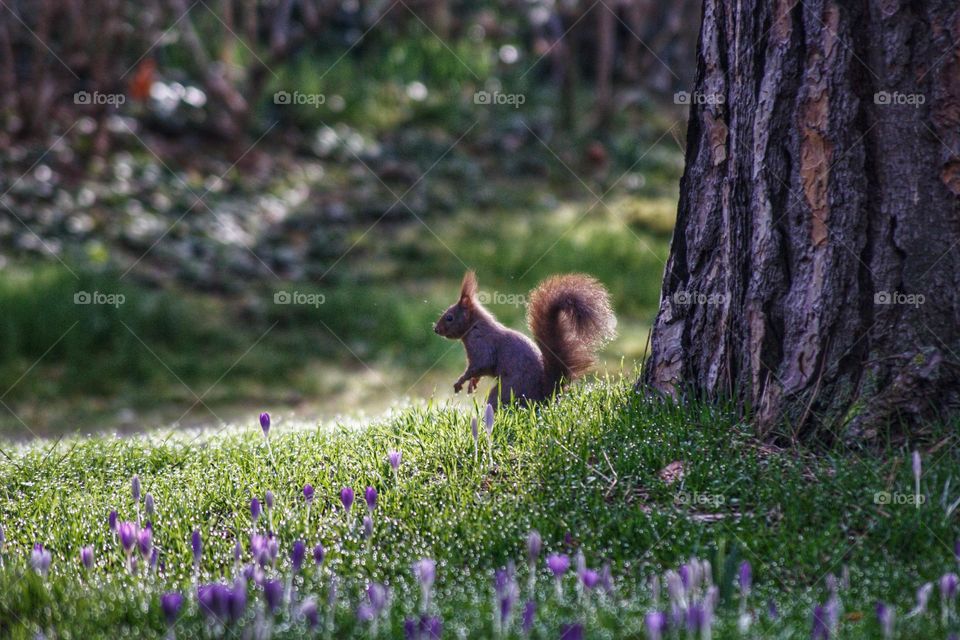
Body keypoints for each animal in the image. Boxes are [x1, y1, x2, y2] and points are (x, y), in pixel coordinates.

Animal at [434, 271, 616, 409]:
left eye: (449, 317)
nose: (436, 329)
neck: (474, 326)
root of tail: (545, 395)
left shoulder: (482, 345)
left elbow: (480, 364)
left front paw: (460, 381)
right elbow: (480, 371)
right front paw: (472, 383)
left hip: (508, 391)